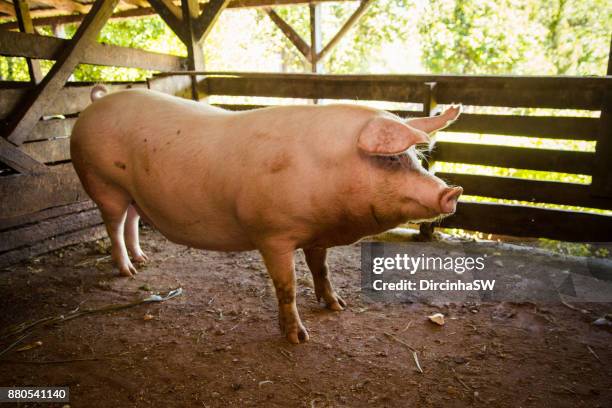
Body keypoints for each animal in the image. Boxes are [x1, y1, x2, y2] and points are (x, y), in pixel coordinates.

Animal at [70, 86, 460, 344]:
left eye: (414, 159)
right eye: (391, 159)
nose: (452, 192)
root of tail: (95, 103)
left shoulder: (317, 235)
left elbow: (322, 270)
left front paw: (337, 307)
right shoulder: (272, 234)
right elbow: (287, 286)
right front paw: (298, 338)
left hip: (132, 192)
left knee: (132, 220)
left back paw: (143, 260)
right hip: (101, 182)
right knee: (113, 224)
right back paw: (128, 271)